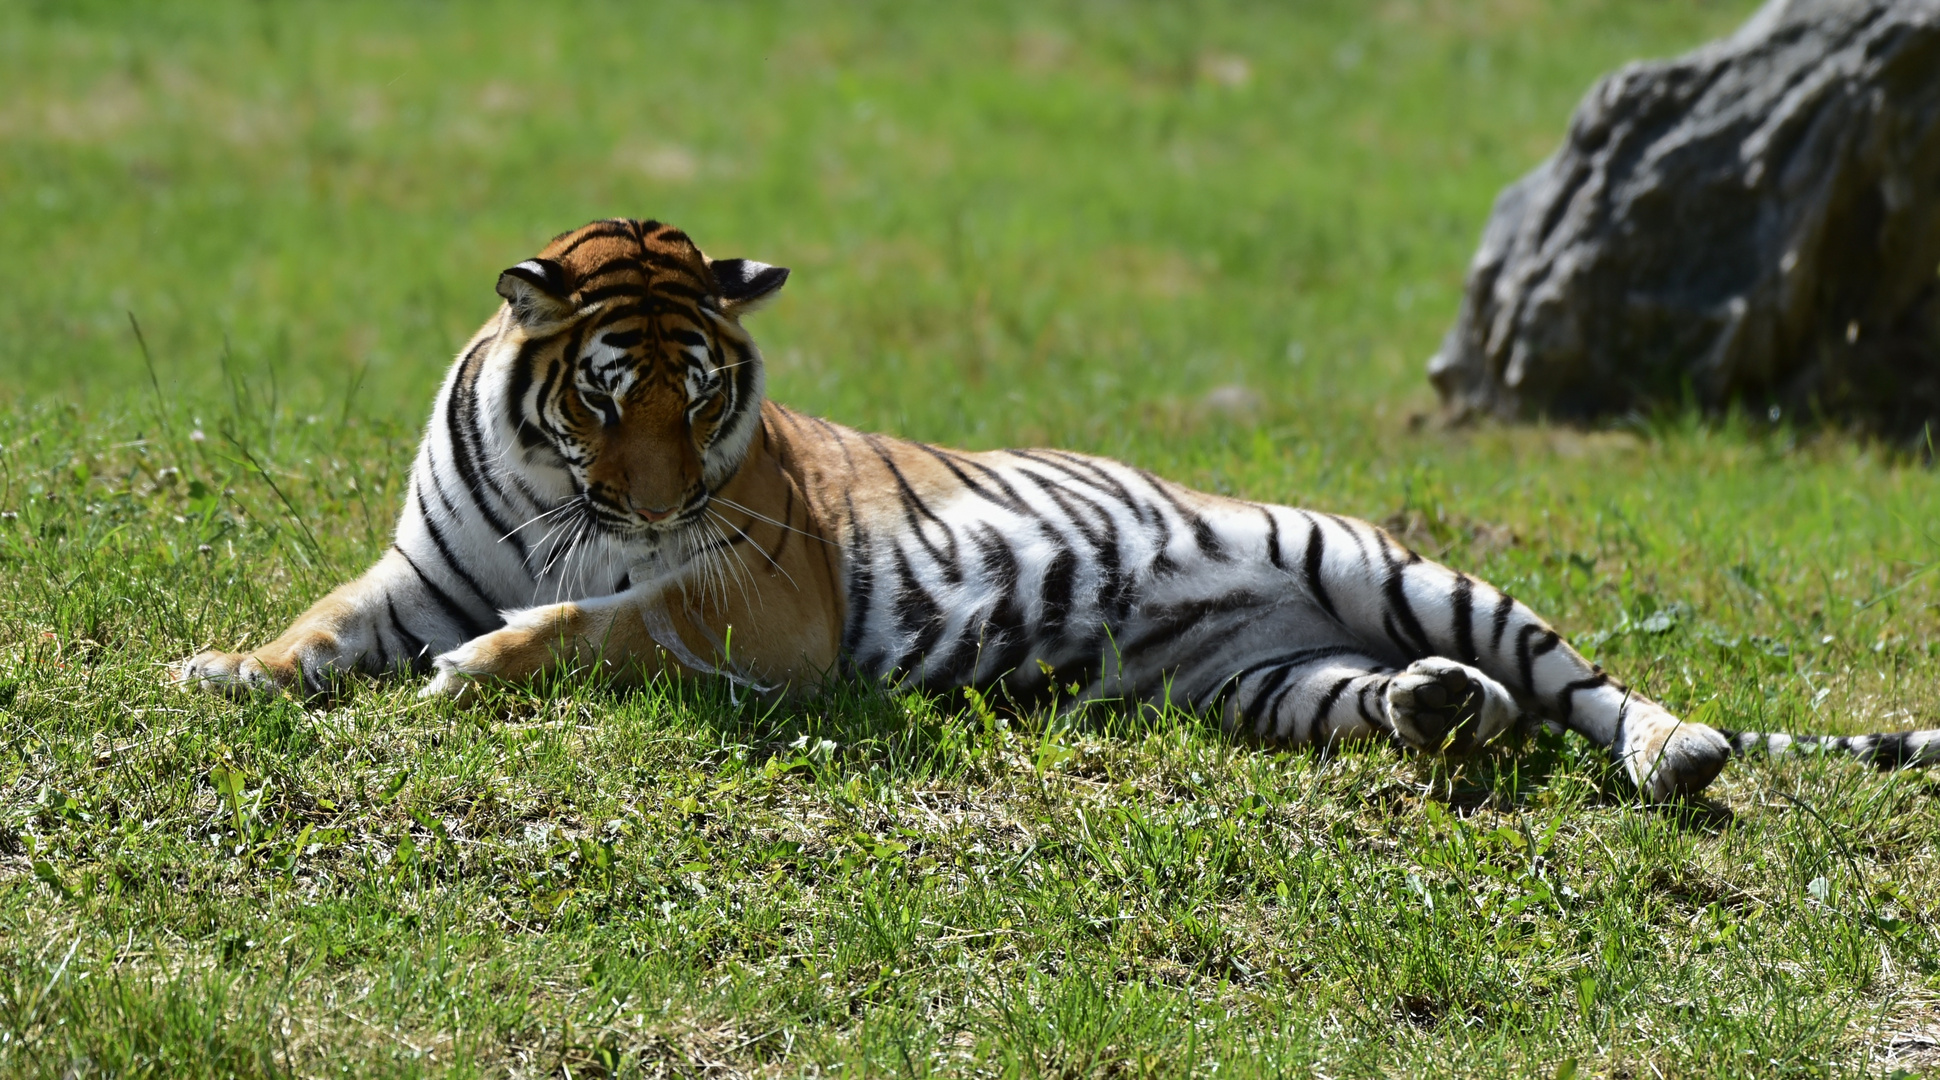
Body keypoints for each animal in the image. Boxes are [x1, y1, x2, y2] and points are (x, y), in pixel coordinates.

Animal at [178, 215, 1940, 794]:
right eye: (611, 391)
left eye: (703, 400)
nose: (654, 500)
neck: (559, 496)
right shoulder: (418, 564)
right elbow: (319, 626)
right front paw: (219, 673)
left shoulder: (759, 597)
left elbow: (597, 627)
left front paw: (478, 669)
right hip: (1269, 683)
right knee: (1450, 707)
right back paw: (1442, 714)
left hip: (1400, 567)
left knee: (1586, 688)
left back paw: (1674, 753)